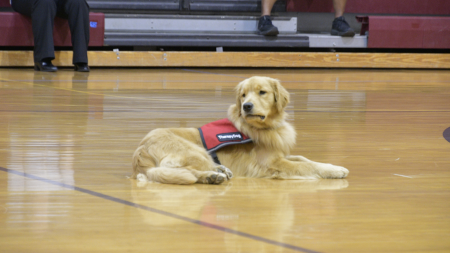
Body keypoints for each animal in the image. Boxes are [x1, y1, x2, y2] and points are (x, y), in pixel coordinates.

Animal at [132, 76, 350, 185]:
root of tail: (140, 152)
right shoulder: (271, 164)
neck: (266, 127)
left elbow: (305, 158)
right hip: (195, 151)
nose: (246, 106)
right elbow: (306, 166)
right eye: (243, 95)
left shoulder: (278, 154)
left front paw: (333, 166)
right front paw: (335, 171)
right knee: (184, 171)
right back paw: (212, 176)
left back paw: (218, 172)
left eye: (262, 92)